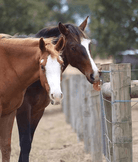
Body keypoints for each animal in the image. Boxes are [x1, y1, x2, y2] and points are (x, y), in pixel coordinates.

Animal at [16, 16, 100, 162]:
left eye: (89, 45)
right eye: (73, 47)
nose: (94, 74)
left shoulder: (37, 111)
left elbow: (28, 143)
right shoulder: (22, 109)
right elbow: (25, 142)